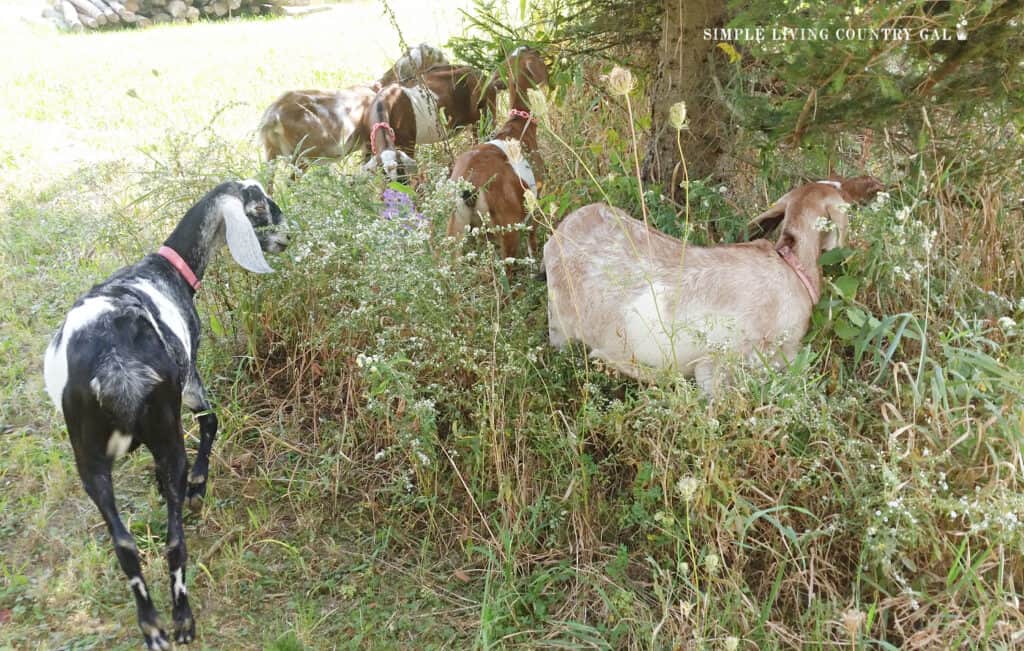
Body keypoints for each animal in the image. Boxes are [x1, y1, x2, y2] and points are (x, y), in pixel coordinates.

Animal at [42, 180, 288, 649]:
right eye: (263, 207)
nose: (287, 236)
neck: (164, 269)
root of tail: (115, 364)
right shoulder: (188, 381)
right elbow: (211, 421)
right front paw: (196, 485)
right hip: (166, 432)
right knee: (174, 541)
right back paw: (182, 620)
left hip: (89, 459)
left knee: (124, 544)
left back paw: (152, 626)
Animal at [258, 43, 448, 174]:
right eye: (434, 54)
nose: (448, 61)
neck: (377, 88)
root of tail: (271, 116)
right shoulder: (368, 141)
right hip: (300, 156)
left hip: (270, 154)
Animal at [362, 63, 501, 180]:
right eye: (385, 177)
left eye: (403, 175)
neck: (387, 101)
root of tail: (484, 76)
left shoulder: (408, 144)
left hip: (487, 118)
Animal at [446, 46, 549, 259]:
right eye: (535, 54)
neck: (519, 127)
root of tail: (469, 184)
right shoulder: (534, 198)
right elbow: (532, 235)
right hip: (508, 223)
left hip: (457, 224)